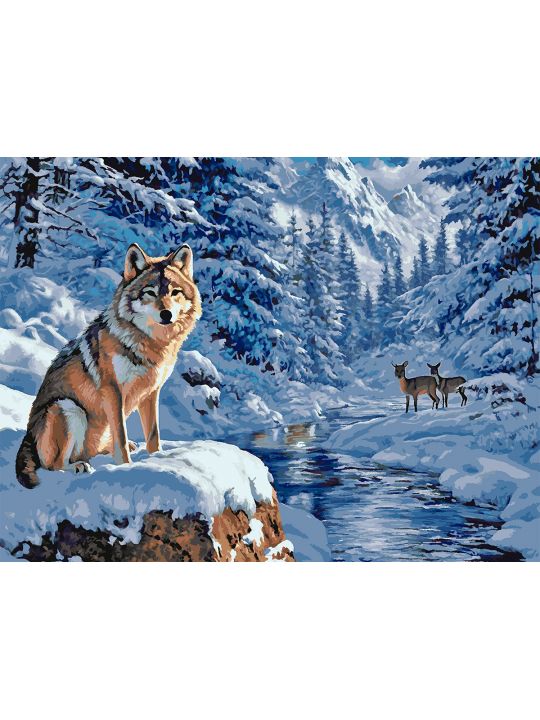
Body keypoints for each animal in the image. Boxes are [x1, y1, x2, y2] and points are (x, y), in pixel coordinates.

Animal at [16, 243, 202, 488]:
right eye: (150, 293)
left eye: (174, 292)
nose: (166, 314)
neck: (148, 344)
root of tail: (27, 436)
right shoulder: (113, 392)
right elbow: (120, 437)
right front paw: (126, 467)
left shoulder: (151, 393)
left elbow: (153, 435)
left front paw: (157, 459)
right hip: (68, 407)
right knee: (54, 465)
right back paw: (80, 466)